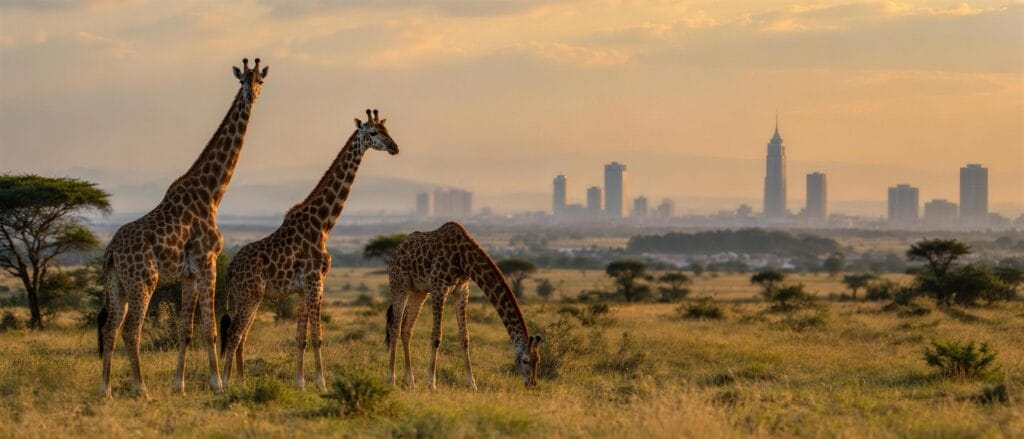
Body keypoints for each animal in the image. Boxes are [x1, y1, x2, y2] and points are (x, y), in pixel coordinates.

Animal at [97, 58, 268, 399]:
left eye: (260, 81)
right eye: (242, 80)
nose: (251, 96)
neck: (212, 193)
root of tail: (110, 252)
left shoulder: (188, 274)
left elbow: (185, 330)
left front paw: (180, 385)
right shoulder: (207, 262)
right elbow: (210, 329)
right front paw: (217, 385)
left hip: (116, 283)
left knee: (111, 328)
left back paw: (106, 390)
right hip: (143, 280)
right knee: (131, 330)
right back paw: (141, 389)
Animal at [220, 109, 399, 392]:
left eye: (387, 130)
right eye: (373, 132)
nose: (394, 147)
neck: (324, 224)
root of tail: (230, 269)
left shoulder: (303, 288)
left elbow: (300, 337)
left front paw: (300, 383)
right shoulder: (316, 281)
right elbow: (317, 336)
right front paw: (322, 384)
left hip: (245, 296)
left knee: (242, 335)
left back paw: (242, 382)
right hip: (250, 295)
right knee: (235, 333)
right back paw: (226, 384)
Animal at [386, 221, 542, 390]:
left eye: (538, 360)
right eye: (525, 360)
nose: (532, 384)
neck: (463, 259)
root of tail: (396, 251)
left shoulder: (462, 291)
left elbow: (465, 337)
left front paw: (472, 384)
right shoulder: (439, 288)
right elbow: (436, 336)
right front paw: (431, 383)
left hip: (419, 291)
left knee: (406, 329)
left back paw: (410, 381)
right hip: (400, 284)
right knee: (395, 328)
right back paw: (391, 380)